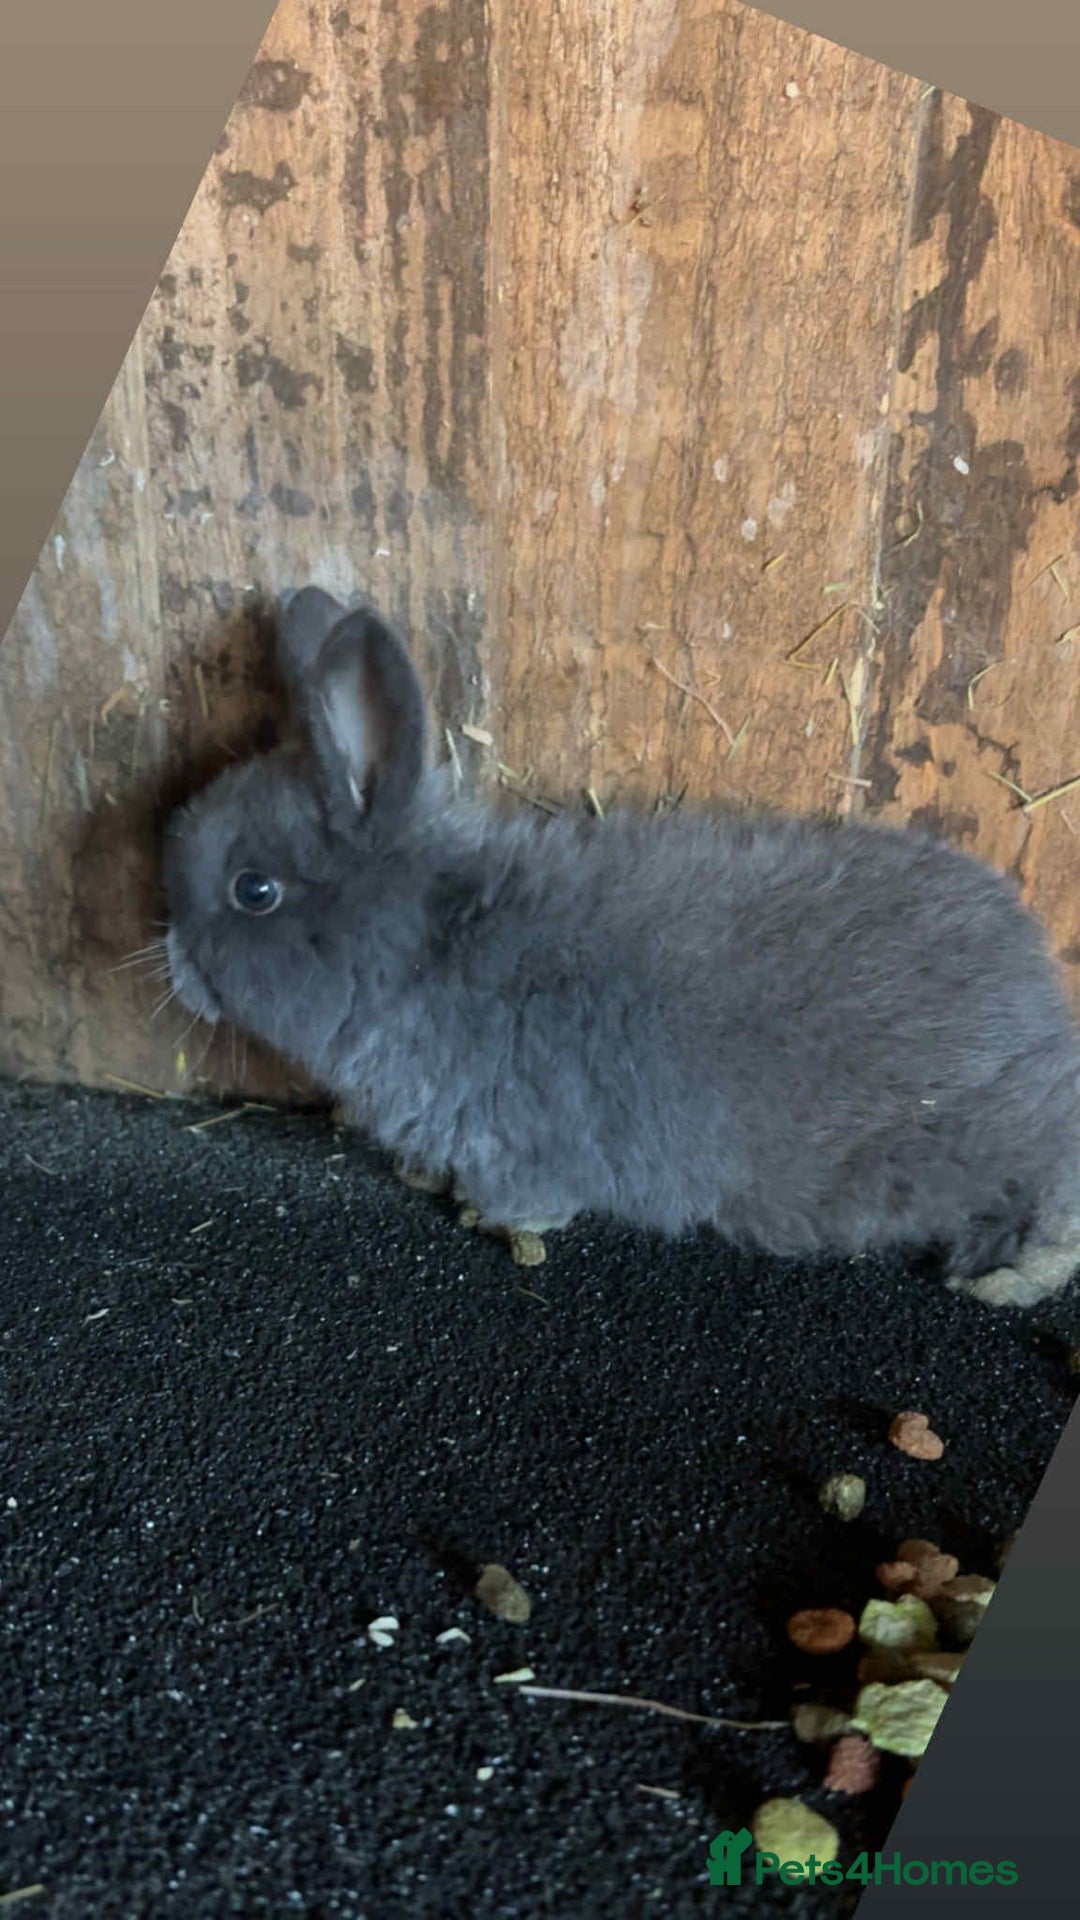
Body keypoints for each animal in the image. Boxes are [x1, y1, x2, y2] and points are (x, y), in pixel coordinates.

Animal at [163, 586, 1080, 1308]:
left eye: (254, 890)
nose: (169, 956)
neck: (427, 948)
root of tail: (1043, 999)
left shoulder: (518, 1144)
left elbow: (528, 1196)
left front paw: (490, 1215)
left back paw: (1005, 1280)